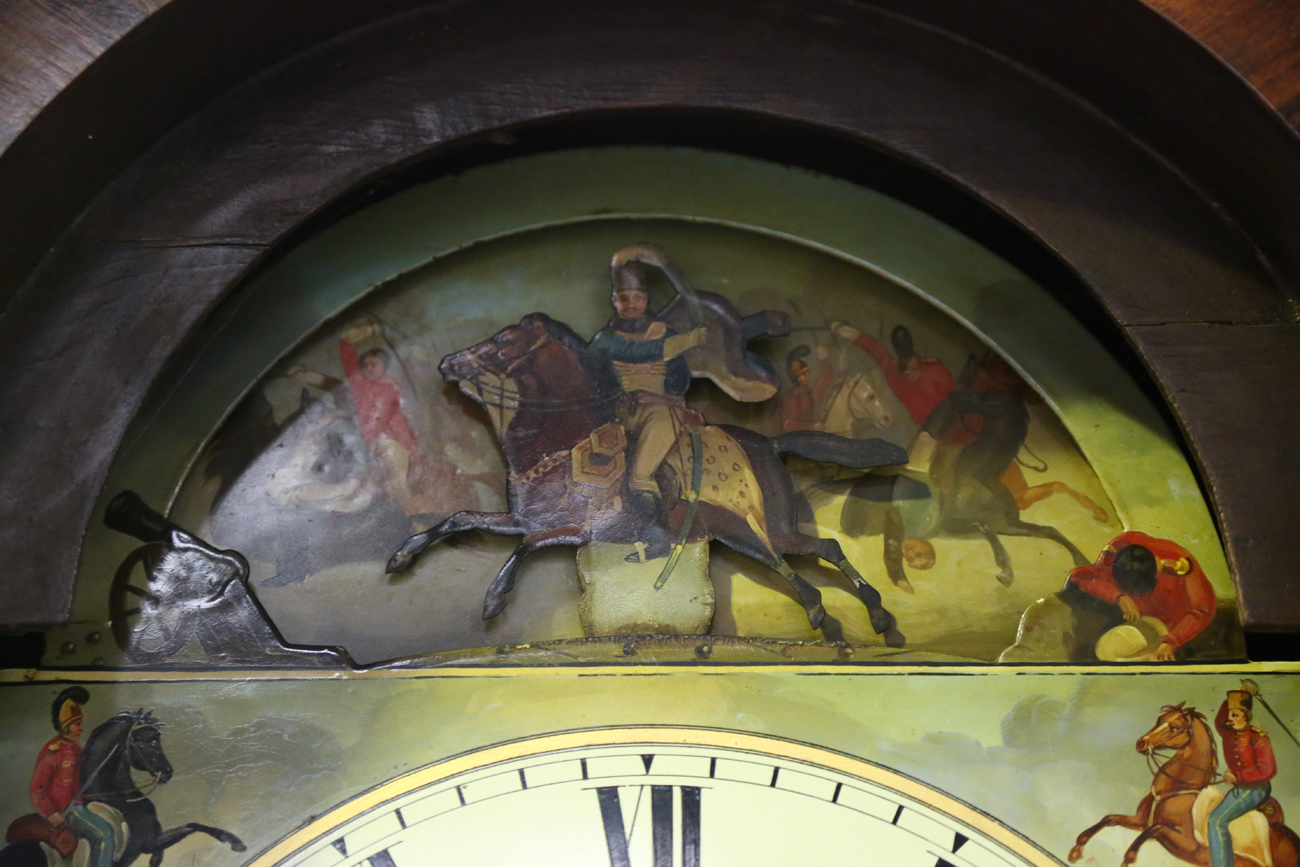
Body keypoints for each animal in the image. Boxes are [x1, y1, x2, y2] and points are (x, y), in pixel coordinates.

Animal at [0, 712, 244, 867]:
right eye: (148, 740)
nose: (167, 772)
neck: (120, 800)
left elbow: (187, 828)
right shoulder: (147, 843)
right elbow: (191, 826)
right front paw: (235, 842)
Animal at [1071, 701, 1294, 867]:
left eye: (1174, 728)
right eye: (1160, 720)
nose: (1142, 743)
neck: (1179, 791)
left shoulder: (1186, 843)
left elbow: (1151, 831)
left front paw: (1128, 858)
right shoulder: (1140, 821)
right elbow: (1109, 818)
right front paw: (1076, 849)